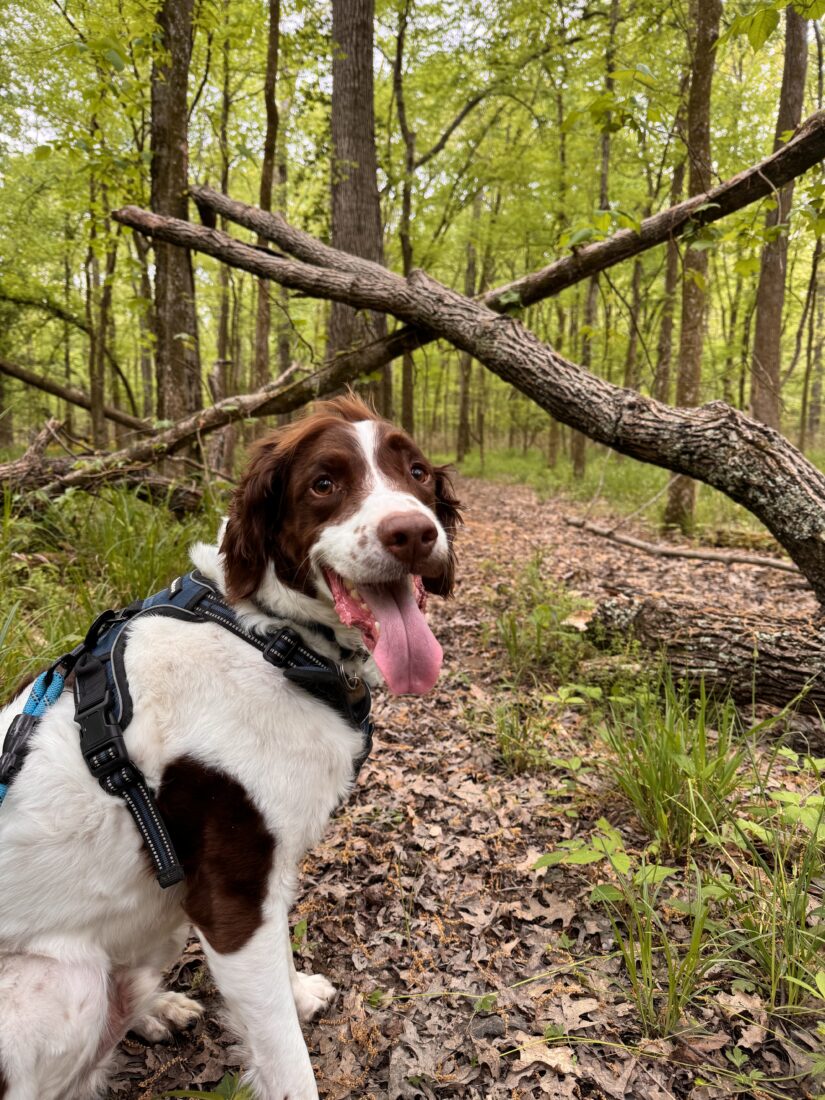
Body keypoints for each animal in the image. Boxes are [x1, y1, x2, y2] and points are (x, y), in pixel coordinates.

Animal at [0, 396, 462, 1100]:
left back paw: (155, 1006)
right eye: (323, 484)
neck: (270, 640)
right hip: (60, 982)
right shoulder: (232, 900)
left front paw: (297, 992)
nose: (413, 534)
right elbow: (286, 1059)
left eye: (416, 472)